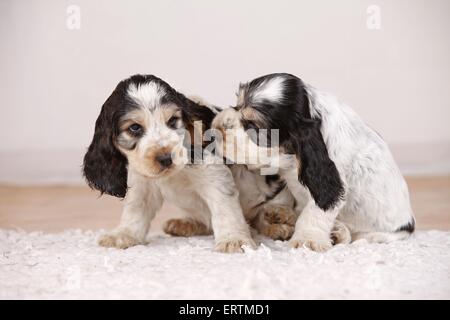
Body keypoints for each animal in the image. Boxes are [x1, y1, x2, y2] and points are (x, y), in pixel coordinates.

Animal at [83, 74, 258, 252]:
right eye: (134, 127)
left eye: (172, 120)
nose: (166, 158)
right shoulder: (142, 181)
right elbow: (135, 208)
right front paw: (124, 234)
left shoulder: (214, 175)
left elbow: (224, 208)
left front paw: (233, 240)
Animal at [213, 73, 416, 252]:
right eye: (237, 105)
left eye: (253, 126)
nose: (216, 129)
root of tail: (409, 223)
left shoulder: (332, 182)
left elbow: (314, 212)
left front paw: (306, 241)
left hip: (381, 234)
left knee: (356, 236)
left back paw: (337, 232)